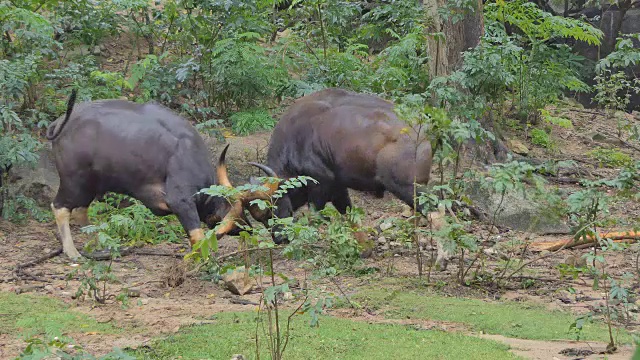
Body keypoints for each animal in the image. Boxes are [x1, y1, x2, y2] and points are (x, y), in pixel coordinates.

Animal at [47, 90, 262, 258]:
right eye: (236, 215)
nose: (249, 228)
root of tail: (60, 123)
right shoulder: (181, 201)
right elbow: (197, 237)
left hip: (90, 184)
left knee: (80, 210)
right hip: (74, 180)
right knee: (60, 207)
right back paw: (72, 252)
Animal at [245, 88, 436, 243]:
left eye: (272, 209)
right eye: (260, 219)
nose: (280, 239)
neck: (294, 141)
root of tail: (423, 130)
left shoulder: (320, 188)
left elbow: (319, 217)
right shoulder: (337, 187)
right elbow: (349, 213)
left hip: (407, 187)